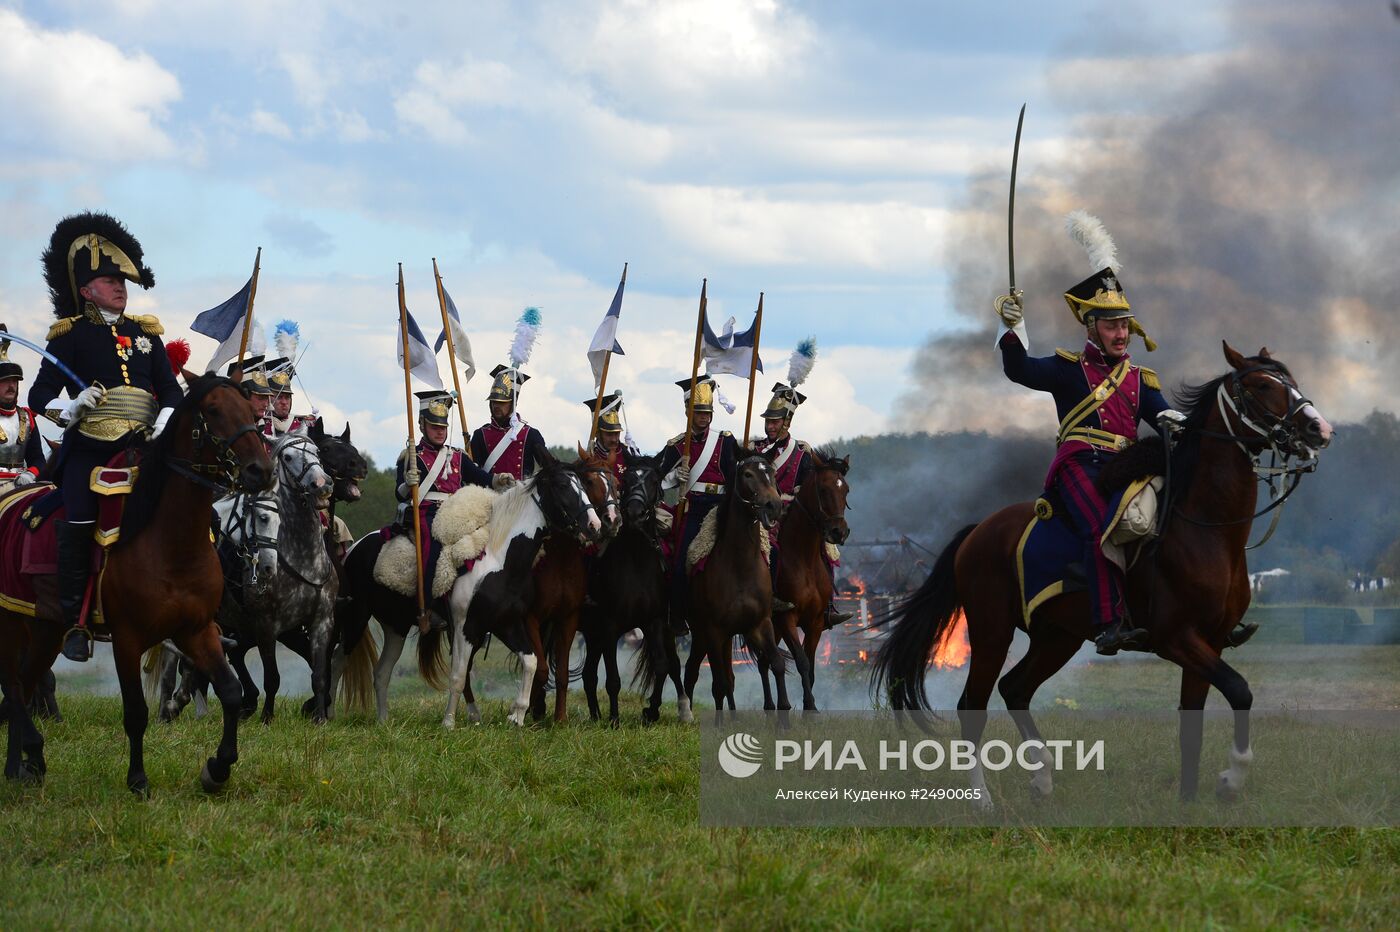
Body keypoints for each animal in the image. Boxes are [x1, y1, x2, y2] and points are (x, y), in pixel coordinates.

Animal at [0, 375, 270, 794]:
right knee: (14, 687)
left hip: (45, 627)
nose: (261, 470)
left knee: (24, 685)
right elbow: (136, 712)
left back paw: (21, 765)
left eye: (251, 412)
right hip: (12, 622)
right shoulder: (127, 639)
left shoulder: (197, 630)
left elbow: (228, 690)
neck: (171, 544)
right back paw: (30, 753)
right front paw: (138, 780)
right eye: (213, 410)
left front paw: (217, 768)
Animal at [680, 450, 789, 710]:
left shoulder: (760, 624)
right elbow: (719, 684)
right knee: (694, 673)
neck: (740, 567)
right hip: (701, 634)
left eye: (772, 473)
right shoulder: (713, 631)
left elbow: (777, 663)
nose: (774, 506)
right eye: (748, 474)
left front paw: (784, 709)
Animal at [756, 447, 851, 708]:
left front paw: (809, 706)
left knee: (766, 661)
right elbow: (801, 662)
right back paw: (771, 706)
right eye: (823, 489)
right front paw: (808, 706)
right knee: (763, 662)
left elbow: (811, 668)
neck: (804, 560)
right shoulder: (787, 619)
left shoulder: (815, 623)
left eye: (846, 490)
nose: (839, 532)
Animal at [873, 344, 1332, 800]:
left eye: (1290, 379)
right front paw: (1232, 777)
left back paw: (1042, 777)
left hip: (1058, 636)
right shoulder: (1175, 639)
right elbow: (1239, 689)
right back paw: (983, 801)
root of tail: (979, 530)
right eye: (1262, 385)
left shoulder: (1211, 641)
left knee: (1015, 688)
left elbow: (1194, 724)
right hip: (992, 632)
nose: (1319, 428)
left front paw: (1189, 801)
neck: (1206, 529)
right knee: (973, 706)